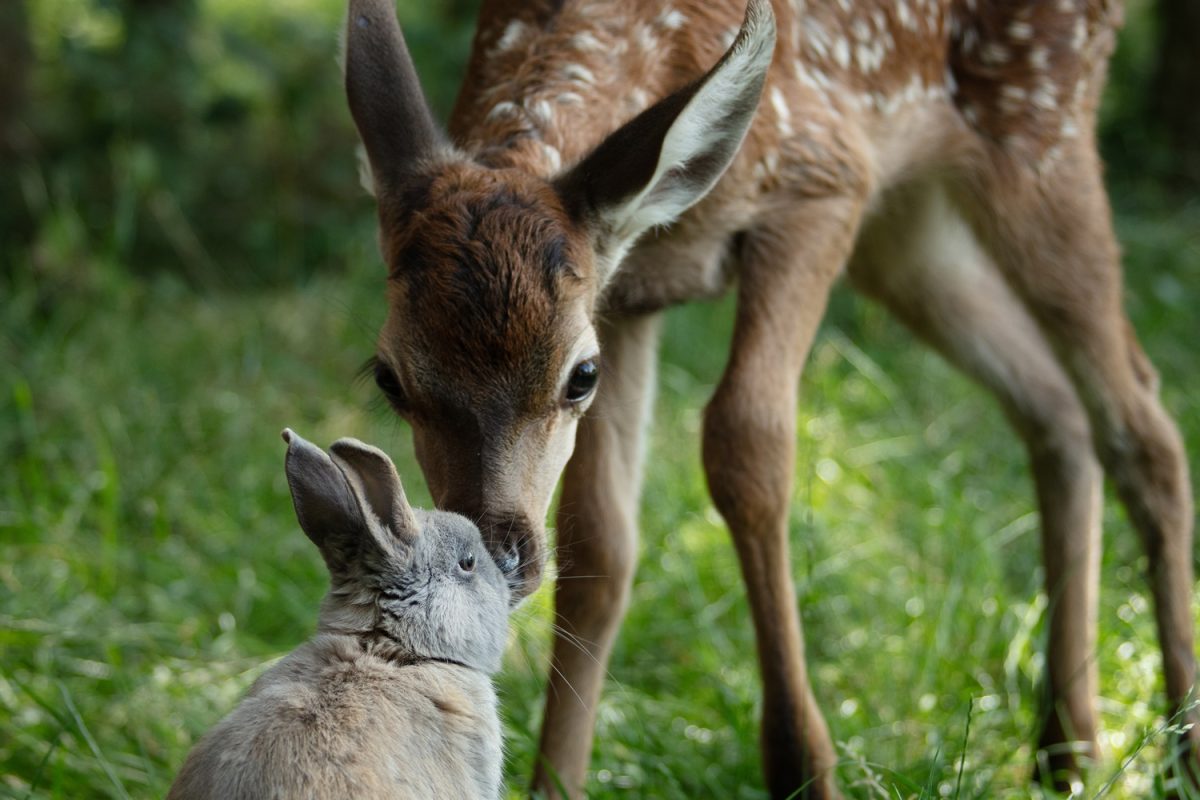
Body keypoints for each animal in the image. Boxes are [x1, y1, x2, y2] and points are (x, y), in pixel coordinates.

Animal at [343, 0, 1195, 796]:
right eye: (389, 377)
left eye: (579, 375)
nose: (495, 556)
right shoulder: (629, 296)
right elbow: (602, 546)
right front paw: (555, 783)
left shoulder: (824, 183)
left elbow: (744, 446)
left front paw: (802, 766)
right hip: (911, 229)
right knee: (1055, 405)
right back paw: (1067, 746)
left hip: (1040, 132)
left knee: (1142, 420)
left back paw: (1177, 741)